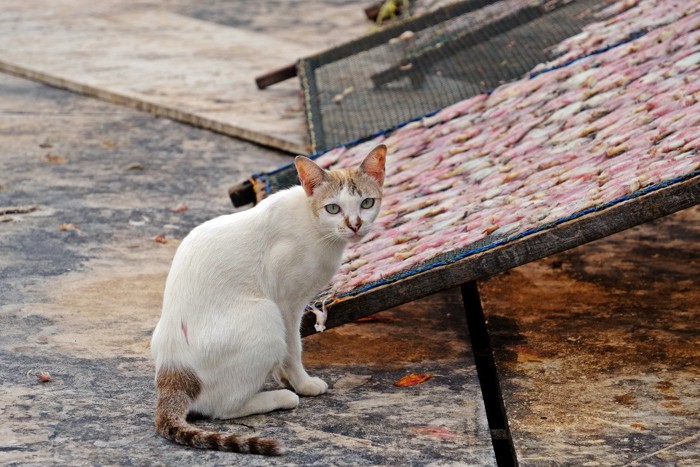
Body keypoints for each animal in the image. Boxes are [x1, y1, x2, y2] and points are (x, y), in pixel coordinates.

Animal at [151, 144, 388, 456]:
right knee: (221, 409)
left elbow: (285, 355)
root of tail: (172, 373)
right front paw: (301, 384)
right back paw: (281, 398)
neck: (316, 227)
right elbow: (293, 348)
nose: (355, 225)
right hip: (266, 314)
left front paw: (284, 377)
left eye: (367, 203)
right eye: (333, 208)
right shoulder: (286, 303)